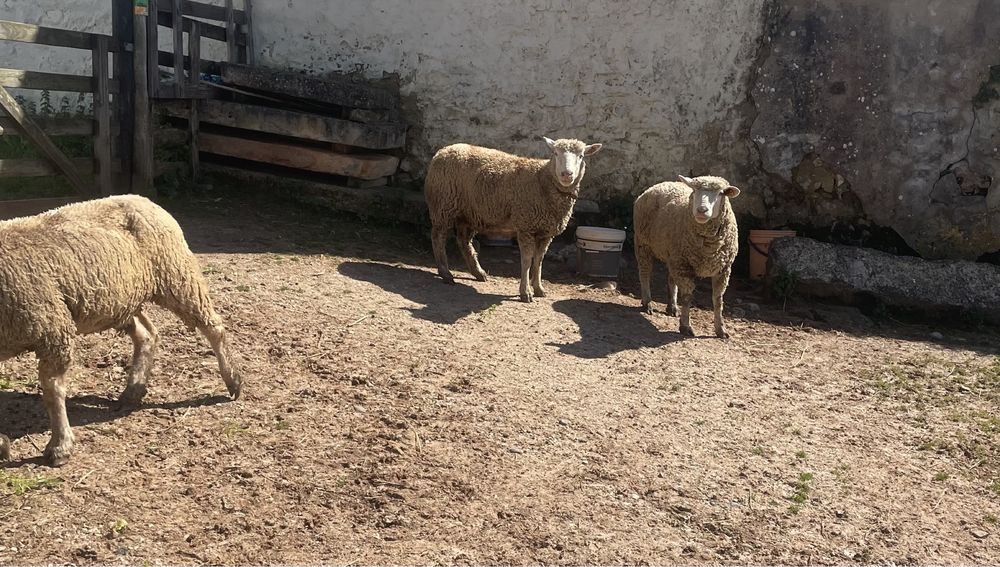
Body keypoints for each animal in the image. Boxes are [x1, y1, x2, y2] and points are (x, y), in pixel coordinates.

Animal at [0, 195, 242, 466]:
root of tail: (142, 199)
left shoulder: (53, 330)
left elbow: (53, 391)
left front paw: (60, 447)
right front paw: (3, 444)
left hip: (178, 276)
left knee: (214, 327)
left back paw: (233, 381)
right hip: (122, 300)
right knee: (147, 334)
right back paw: (133, 391)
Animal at [422, 136, 600, 304]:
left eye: (581, 156)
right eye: (555, 153)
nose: (566, 174)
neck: (542, 180)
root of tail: (443, 151)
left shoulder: (545, 233)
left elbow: (539, 261)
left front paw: (538, 288)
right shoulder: (526, 227)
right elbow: (527, 261)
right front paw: (525, 292)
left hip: (468, 214)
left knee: (464, 241)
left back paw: (478, 272)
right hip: (443, 205)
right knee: (438, 238)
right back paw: (446, 273)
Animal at [632, 175, 744, 340]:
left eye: (721, 193)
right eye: (695, 191)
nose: (702, 210)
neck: (709, 247)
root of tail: (661, 184)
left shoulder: (723, 269)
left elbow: (718, 299)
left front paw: (720, 329)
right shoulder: (684, 266)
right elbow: (686, 297)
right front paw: (685, 326)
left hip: (672, 255)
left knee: (671, 280)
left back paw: (672, 307)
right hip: (643, 243)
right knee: (644, 273)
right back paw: (647, 303)